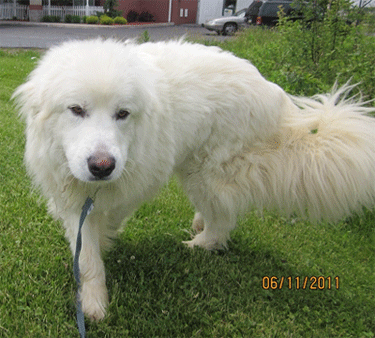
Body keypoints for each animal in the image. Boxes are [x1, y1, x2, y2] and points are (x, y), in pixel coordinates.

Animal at [13, 39, 375, 320]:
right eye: (76, 109)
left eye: (122, 114)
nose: (102, 166)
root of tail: (275, 96)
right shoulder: (74, 196)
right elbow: (87, 251)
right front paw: (93, 297)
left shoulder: (134, 183)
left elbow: (104, 227)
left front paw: (99, 270)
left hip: (204, 174)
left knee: (224, 221)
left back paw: (199, 244)